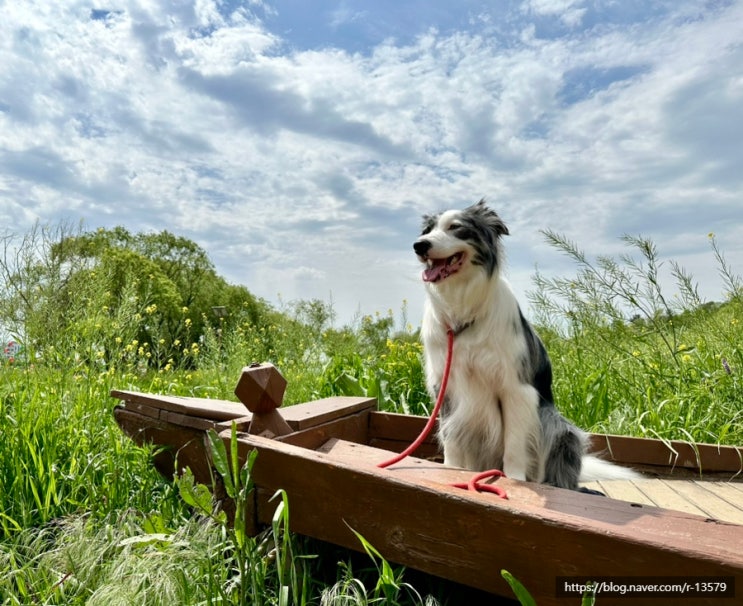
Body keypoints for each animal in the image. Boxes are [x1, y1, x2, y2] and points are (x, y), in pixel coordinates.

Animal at [412, 201, 640, 494]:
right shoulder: (446, 386)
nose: (419, 245)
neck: (461, 312)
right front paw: (450, 469)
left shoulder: (516, 389)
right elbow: (450, 434)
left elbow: (514, 441)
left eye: (456, 228)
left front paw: (514, 478)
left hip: (558, 425)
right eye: (427, 231)